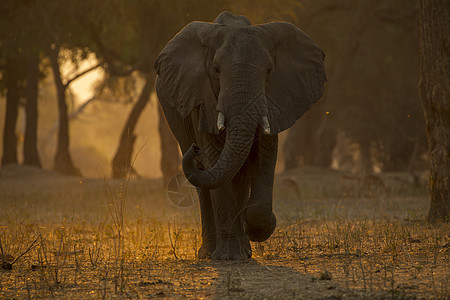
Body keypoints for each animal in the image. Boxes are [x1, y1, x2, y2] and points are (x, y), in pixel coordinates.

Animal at [154, 11, 324, 260]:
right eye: (216, 69)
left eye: (269, 70)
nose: (195, 150)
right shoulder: (202, 100)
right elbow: (215, 157)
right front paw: (229, 257)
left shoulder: (274, 100)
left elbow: (265, 156)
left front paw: (257, 229)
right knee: (204, 184)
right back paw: (208, 253)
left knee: (239, 177)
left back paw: (245, 247)